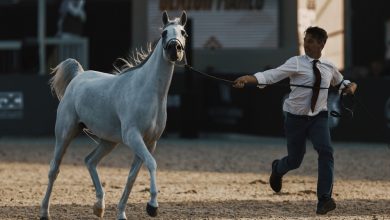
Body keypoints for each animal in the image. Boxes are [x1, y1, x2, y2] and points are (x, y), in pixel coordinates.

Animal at [39, 10, 187, 220]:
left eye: (183, 32)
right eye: (164, 33)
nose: (175, 49)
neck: (147, 91)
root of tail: (78, 76)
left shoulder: (150, 142)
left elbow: (132, 177)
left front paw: (121, 213)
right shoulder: (133, 136)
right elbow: (152, 164)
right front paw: (152, 206)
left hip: (108, 141)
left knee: (90, 161)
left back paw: (99, 206)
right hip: (65, 134)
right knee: (54, 170)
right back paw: (45, 212)